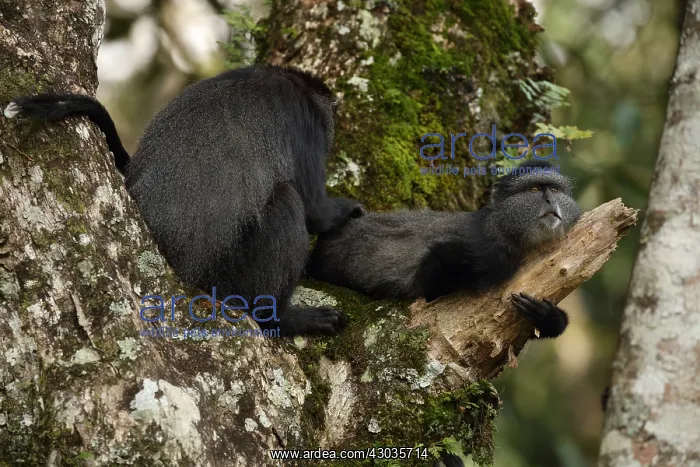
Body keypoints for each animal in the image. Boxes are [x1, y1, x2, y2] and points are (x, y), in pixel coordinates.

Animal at [8, 64, 364, 337]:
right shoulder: (305, 121)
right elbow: (316, 212)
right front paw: (347, 210)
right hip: (225, 279)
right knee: (287, 204)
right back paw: (278, 319)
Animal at [307, 159, 582, 339]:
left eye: (554, 189)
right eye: (534, 189)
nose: (550, 200)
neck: (503, 227)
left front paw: (549, 317)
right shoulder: (490, 253)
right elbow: (430, 277)